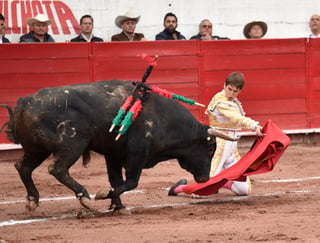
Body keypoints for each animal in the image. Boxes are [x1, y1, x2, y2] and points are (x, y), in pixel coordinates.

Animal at [0, 80, 232, 212]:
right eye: (210, 148)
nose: (205, 179)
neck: (165, 117)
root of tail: (26, 102)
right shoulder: (137, 153)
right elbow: (131, 182)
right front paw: (104, 196)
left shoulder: (113, 155)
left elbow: (116, 180)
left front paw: (118, 206)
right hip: (72, 145)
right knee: (57, 168)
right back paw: (85, 197)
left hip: (36, 148)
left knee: (23, 167)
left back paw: (32, 200)